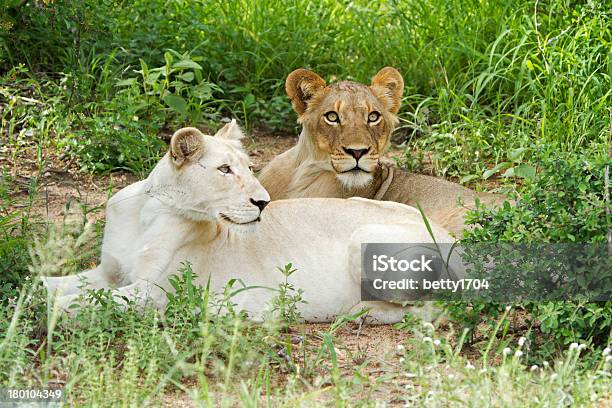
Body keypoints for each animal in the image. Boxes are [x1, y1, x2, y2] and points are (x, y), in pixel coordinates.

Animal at [44, 120, 464, 322]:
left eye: (249, 167)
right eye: (225, 169)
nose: (263, 202)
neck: (150, 211)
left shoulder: (154, 293)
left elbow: (82, 301)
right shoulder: (109, 271)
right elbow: (51, 285)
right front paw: (36, 293)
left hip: (367, 241)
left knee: (448, 310)